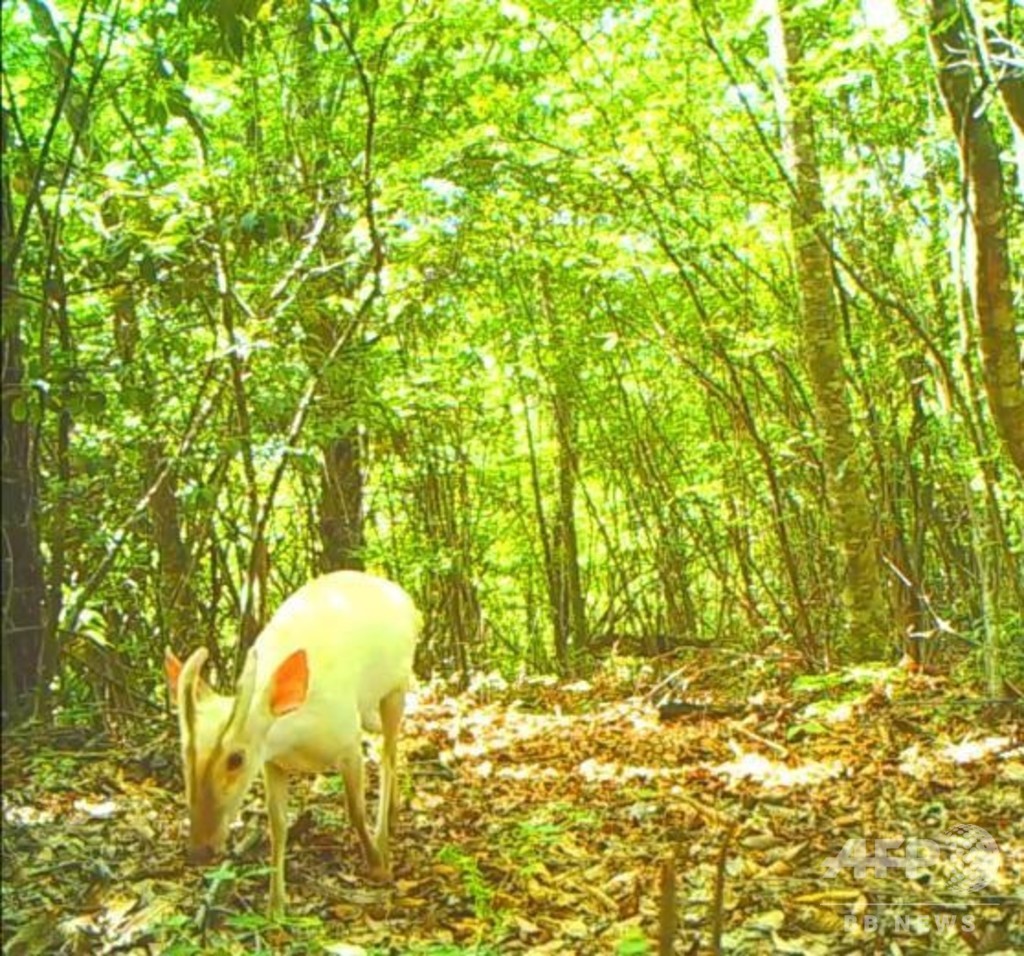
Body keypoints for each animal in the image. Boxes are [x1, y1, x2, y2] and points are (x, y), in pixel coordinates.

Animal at [162, 573, 415, 917]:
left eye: (236, 759)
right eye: (184, 756)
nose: (199, 851)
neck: (298, 735)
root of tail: (403, 597)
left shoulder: (347, 742)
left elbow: (355, 809)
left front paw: (378, 866)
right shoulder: (272, 762)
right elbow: (277, 825)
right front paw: (275, 907)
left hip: (396, 686)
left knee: (387, 755)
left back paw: (385, 833)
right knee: (384, 747)